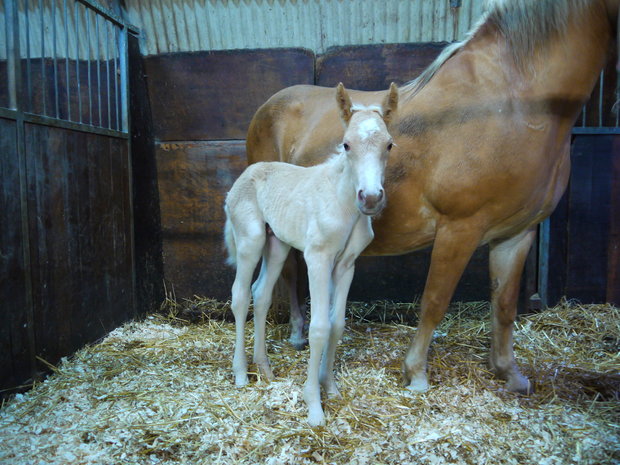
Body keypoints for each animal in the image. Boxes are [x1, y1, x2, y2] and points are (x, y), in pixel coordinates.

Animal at [225, 82, 400, 424]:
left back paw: (265, 367)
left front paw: (329, 386)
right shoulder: (316, 258)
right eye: (346, 144)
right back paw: (240, 373)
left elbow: (337, 323)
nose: (371, 198)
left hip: (276, 245)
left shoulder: (345, 264)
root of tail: (246, 174)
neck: (344, 204)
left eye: (388, 145)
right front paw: (314, 406)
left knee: (261, 294)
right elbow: (319, 327)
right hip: (250, 240)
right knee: (239, 295)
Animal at [245, 0, 616, 394]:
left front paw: (508, 372)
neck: (516, 101)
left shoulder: (516, 234)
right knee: (287, 273)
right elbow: (435, 301)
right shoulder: (459, 228)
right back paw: (298, 335)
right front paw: (416, 373)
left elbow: (504, 305)